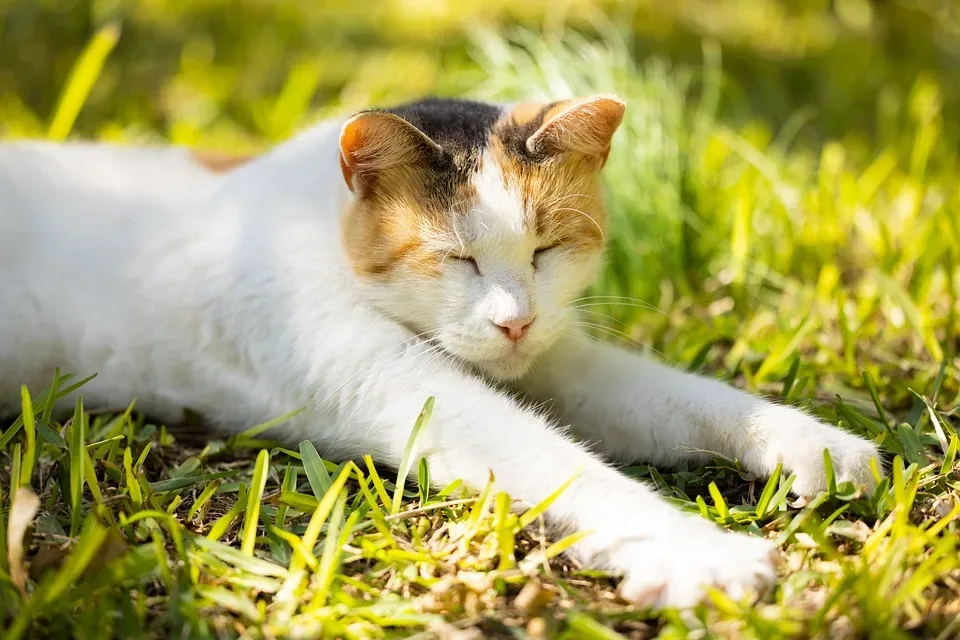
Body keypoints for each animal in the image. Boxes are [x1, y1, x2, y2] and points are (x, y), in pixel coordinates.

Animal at [0, 96, 880, 608]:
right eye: (456, 260)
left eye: (547, 250)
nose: (515, 322)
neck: (319, 215)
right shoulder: (397, 379)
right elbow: (555, 459)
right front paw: (694, 549)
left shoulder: (559, 361)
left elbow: (686, 397)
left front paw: (810, 441)